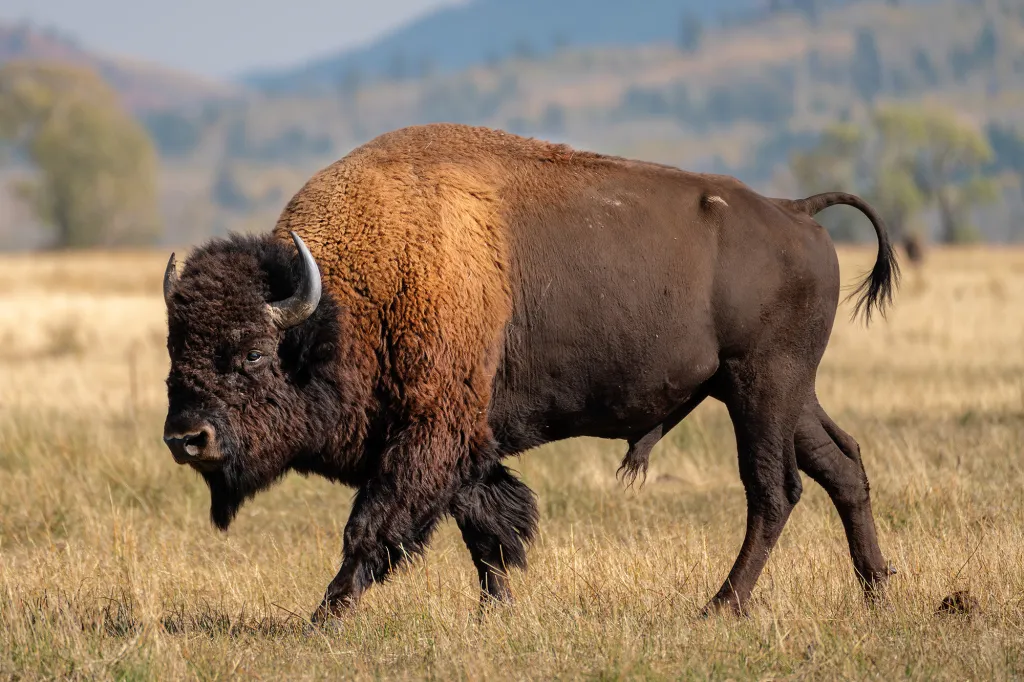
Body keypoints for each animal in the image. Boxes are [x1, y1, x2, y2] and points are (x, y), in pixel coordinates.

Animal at [161, 123, 899, 622]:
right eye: (174, 353)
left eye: (255, 353)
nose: (187, 438)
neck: (350, 301)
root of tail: (795, 212)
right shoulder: (463, 441)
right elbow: (486, 526)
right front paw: (498, 609)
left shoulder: (428, 436)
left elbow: (376, 524)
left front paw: (324, 616)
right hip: (783, 392)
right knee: (843, 466)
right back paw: (877, 588)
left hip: (760, 387)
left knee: (773, 490)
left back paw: (721, 605)